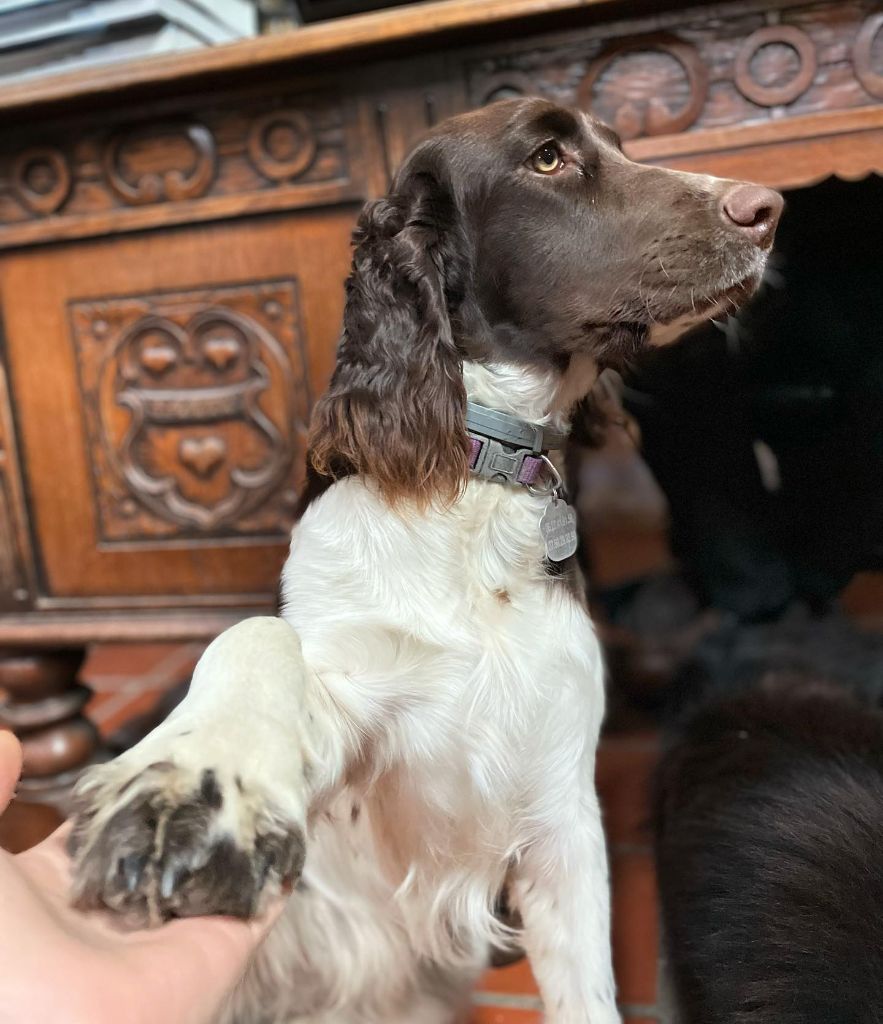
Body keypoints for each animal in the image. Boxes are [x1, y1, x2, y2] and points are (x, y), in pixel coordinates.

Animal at [65, 97, 782, 1024]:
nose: (767, 207)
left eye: (618, 146)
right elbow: (257, 637)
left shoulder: (559, 808)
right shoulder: (358, 734)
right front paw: (193, 786)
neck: (474, 486)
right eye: (547, 158)